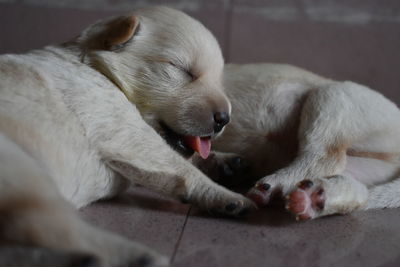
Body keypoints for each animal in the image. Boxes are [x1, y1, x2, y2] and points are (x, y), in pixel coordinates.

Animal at [0, 5, 255, 267]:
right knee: (58, 231)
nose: (224, 118)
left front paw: (226, 162)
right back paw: (142, 257)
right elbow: (178, 165)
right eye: (183, 70)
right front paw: (226, 194)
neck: (95, 67)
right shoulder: (124, 129)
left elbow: (185, 159)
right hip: (25, 175)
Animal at [200, 63, 400, 222]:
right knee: (357, 188)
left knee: (324, 156)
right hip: (366, 166)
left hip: (332, 97)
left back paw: (275, 185)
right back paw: (315, 197)